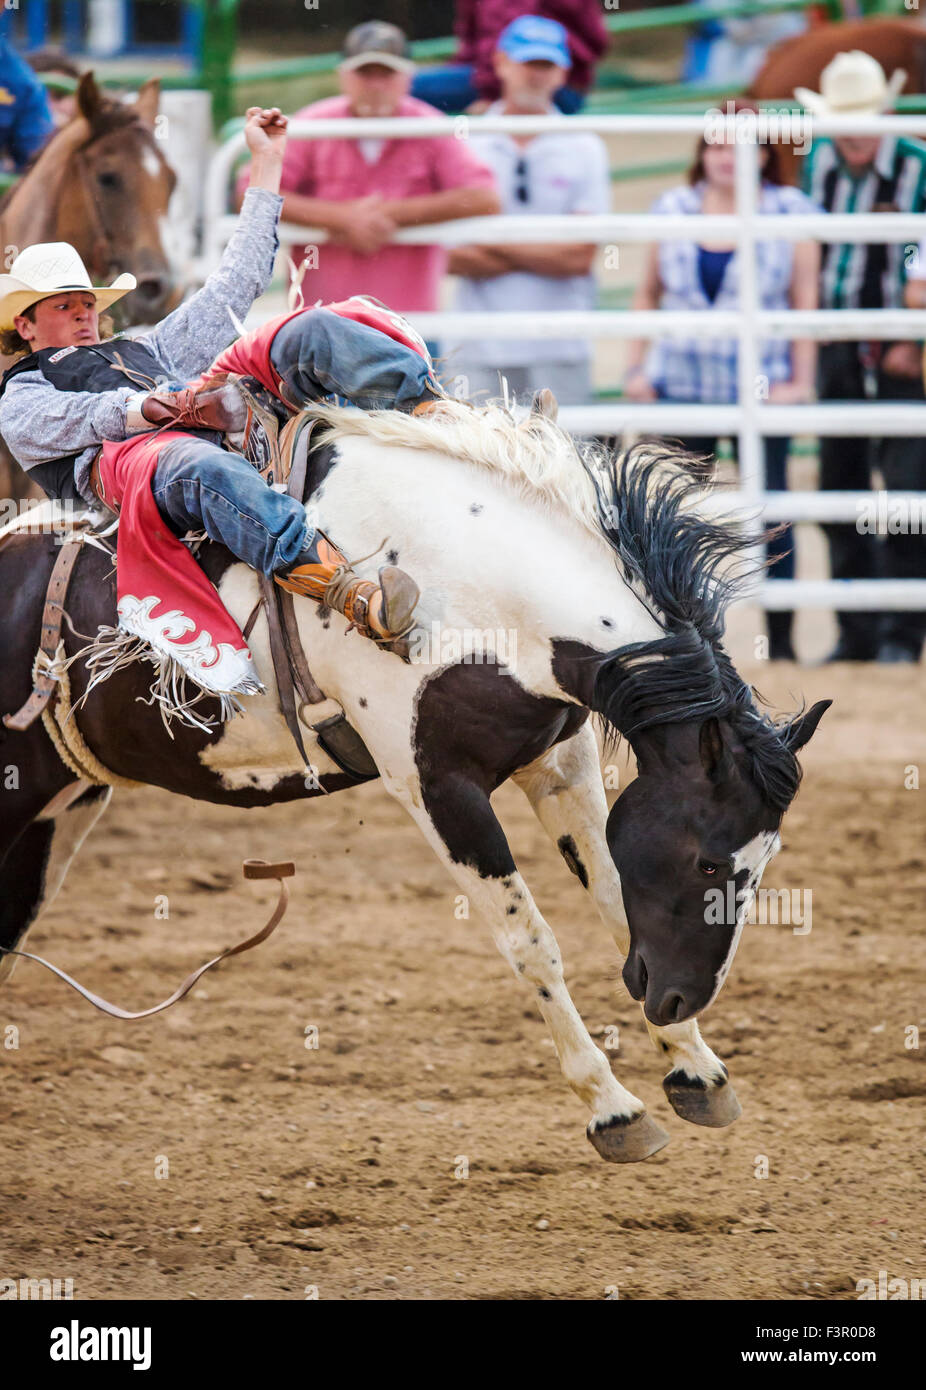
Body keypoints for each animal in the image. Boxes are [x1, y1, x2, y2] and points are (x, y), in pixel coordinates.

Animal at [0, 402, 829, 1164]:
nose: (678, 994)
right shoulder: (436, 787)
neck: (468, 579)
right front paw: (612, 1109)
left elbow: (615, 904)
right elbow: (530, 942)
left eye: (764, 865)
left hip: (58, 810)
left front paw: (696, 1069)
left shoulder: (558, 763)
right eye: (710, 862)